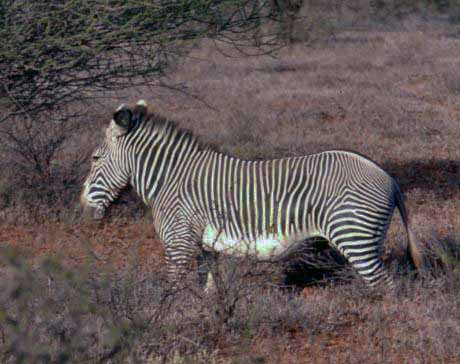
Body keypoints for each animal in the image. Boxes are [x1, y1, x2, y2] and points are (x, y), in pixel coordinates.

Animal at [80, 99, 424, 288]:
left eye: (95, 158)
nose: (82, 209)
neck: (170, 178)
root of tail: (388, 176)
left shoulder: (178, 243)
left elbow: (172, 290)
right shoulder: (204, 247)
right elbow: (210, 289)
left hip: (354, 237)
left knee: (385, 287)